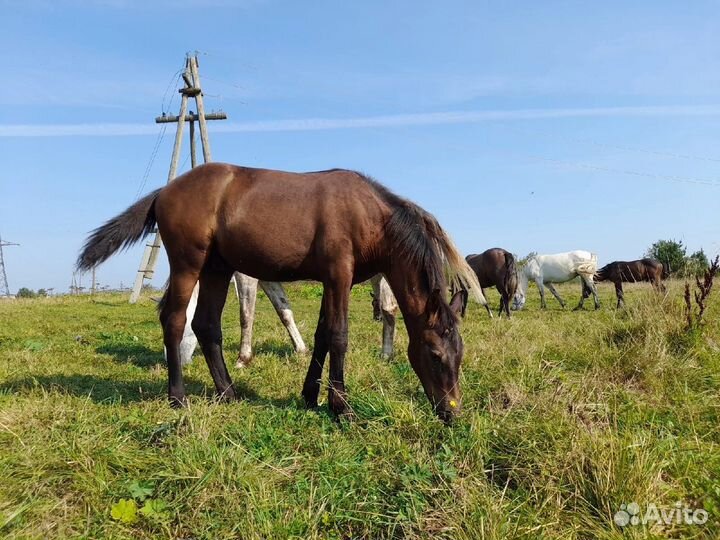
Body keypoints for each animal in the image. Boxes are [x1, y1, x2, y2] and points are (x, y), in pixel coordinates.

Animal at [77, 162, 483, 422]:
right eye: (434, 354)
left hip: (217, 269)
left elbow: (321, 336)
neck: (368, 215)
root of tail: (165, 190)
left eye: (460, 354)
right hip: (188, 264)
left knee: (207, 325)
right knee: (175, 320)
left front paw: (310, 396)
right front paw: (341, 408)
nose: (452, 412)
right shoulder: (339, 275)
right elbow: (339, 336)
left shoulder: (333, 280)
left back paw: (228, 392)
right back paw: (177, 398)